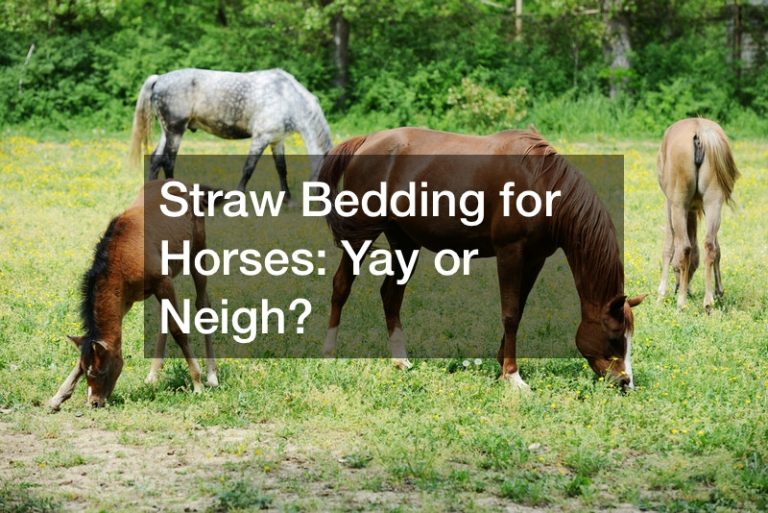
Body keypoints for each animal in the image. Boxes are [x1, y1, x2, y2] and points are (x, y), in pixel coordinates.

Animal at [48, 180, 219, 410]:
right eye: (85, 371)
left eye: (101, 371)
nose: (95, 402)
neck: (122, 259)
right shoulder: (126, 300)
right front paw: (58, 397)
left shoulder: (163, 282)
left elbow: (178, 330)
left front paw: (197, 383)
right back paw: (153, 376)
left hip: (197, 252)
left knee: (203, 304)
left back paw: (212, 375)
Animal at [128, 68, 333, 200]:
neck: (287, 97)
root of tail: (159, 79)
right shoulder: (261, 138)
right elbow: (248, 168)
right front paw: (237, 197)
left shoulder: (277, 141)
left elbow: (282, 169)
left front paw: (288, 200)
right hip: (176, 131)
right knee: (168, 162)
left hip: (167, 131)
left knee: (156, 160)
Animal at [318, 127, 645, 390]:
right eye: (615, 338)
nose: (626, 383)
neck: (541, 182)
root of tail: (367, 140)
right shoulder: (510, 253)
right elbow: (510, 313)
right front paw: (513, 376)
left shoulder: (534, 258)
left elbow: (519, 310)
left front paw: (502, 366)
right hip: (360, 234)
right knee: (341, 285)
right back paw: (328, 353)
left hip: (405, 242)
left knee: (391, 294)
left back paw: (401, 361)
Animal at [656, 118, 739, 312]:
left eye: (676, 270)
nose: (679, 287)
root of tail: (700, 132)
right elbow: (717, 248)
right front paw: (719, 291)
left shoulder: (669, 204)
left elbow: (669, 247)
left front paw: (661, 294)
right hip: (713, 202)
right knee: (710, 246)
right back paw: (708, 302)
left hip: (678, 205)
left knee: (685, 247)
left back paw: (681, 303)